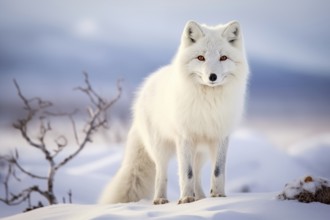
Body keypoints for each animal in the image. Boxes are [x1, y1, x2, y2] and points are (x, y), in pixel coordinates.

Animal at [99, 20, 249, 205]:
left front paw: (219, 196)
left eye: (223, 58)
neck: (208, 103)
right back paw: (160, 199)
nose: (212, 77)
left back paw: (201, 198)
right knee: (161, 173)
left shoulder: (221, 136)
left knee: (198, 174)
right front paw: (186, 199)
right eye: (201, 58)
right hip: (161, 148)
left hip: (201, 153)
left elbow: (217, 171)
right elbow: (186, 173)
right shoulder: (184, 137)